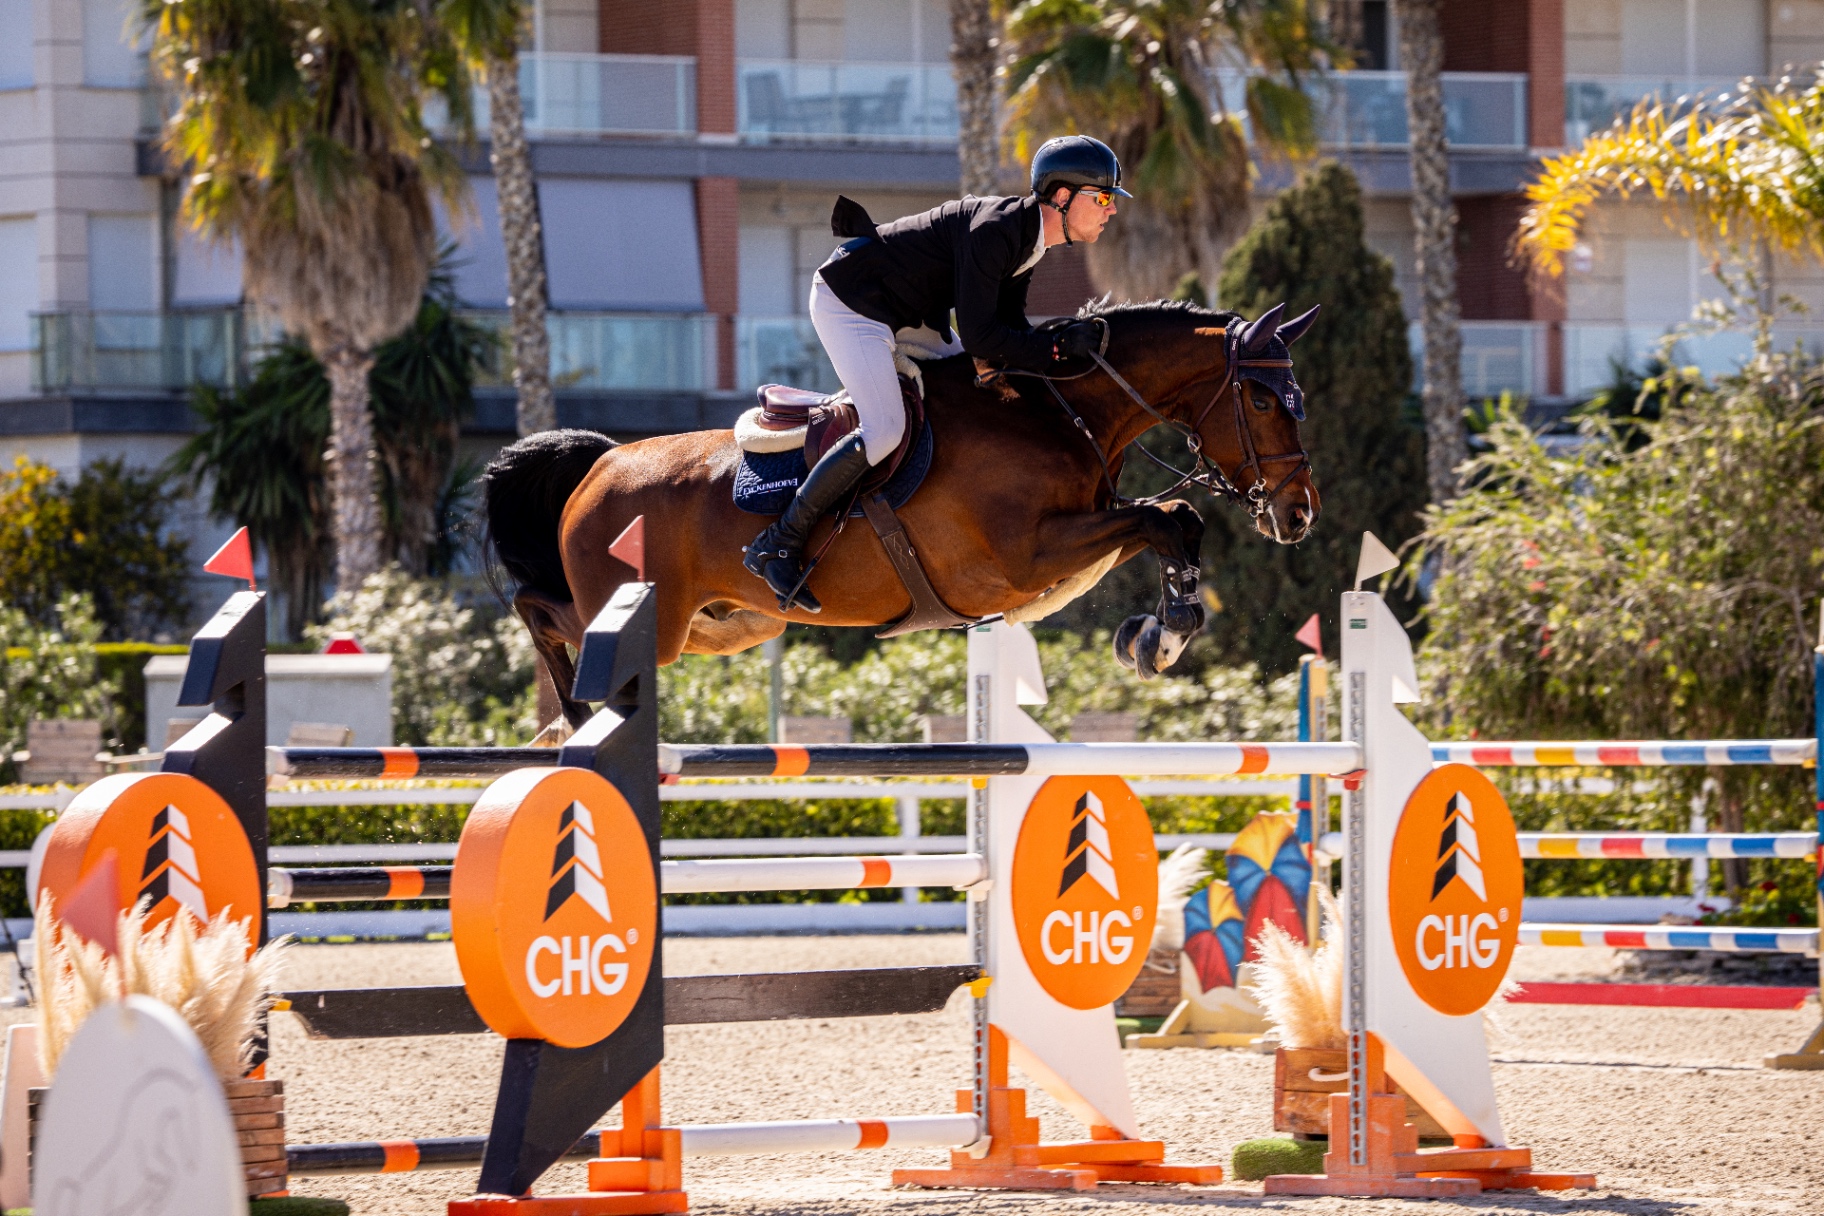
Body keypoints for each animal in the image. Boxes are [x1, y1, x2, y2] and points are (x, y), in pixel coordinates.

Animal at [483, 299, 1321, 730]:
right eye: (1260, 399)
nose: (1300, 515)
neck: (1054, 410)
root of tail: (600, 465)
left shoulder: (1069, 543)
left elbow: (1171, 518)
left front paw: (1159, 630)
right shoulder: (1021, 561)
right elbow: (1162, 519)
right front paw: (1164, 635)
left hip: (722, 627)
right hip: (643, 618)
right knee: (542, 610)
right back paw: (569, 709)